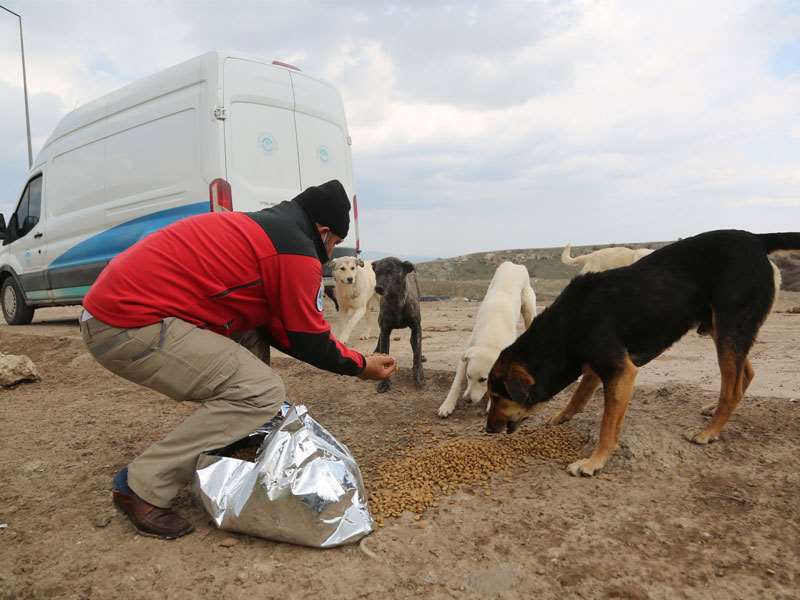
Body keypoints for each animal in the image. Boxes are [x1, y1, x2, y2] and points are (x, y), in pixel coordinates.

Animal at [438, 262, 536, 418]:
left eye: (483, 380)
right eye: (468, 376)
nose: (467, 400)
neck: (491, 337)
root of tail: (515, 265)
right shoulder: (466, 355)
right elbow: (456, 384)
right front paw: (447, 405)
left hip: (529, 309)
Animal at [484, 230, 796, 478]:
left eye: (498, 396)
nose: (487, 430)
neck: (565, 327)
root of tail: (756, 239)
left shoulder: (620, 371)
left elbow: (607, 425)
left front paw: (594, 461)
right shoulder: (599, 366)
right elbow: (579, 395)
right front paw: (562, 416)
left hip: (730, 327)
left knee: (731, 388)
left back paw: (709, 431)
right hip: (719, 329)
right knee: (745, 373)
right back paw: (713, 409)